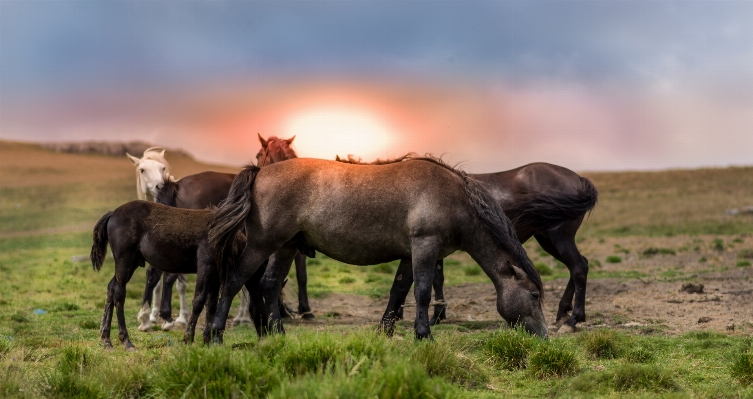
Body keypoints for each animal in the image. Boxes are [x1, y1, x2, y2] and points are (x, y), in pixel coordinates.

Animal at [88, 202, 247, 352]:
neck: (223, 234)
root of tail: (113, 213)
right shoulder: (205, 266)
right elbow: (199, 301)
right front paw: (188, 339)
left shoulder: (215, 273)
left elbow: (212, 305)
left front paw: (207, 341)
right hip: (124, 261)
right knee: (119, 294)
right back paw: (126, 341)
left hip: (132, 263)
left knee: (111, 288)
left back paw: (106, 340)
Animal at [207, 156, 548, 344]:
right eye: (533, 295)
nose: (545, 337)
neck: (454, 199)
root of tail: (259, 172)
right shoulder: (425, 247)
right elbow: (422, 292)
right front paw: (424, 335)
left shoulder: (411, 255)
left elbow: (398, 292)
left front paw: (386, 333)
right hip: (263, 245)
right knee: (234, 280)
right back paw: (215, 335)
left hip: (287, 247)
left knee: (269, 284)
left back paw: (278, 334)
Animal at [384, 161, 596, 332]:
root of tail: (579, 179)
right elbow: (435, 279)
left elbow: (431, 280)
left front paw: (433, 316)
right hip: (547, 240)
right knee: (580, 264)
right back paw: (562, 312)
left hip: (559, 237)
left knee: (578, 267)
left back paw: (572, 321)